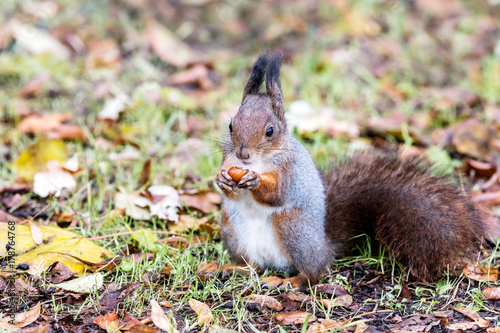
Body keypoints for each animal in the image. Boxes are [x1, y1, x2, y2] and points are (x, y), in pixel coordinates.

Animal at [214, 50, 492, 286]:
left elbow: (277, 193)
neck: (255, 163)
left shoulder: (289, 169)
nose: (243, 153)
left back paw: (293, 280)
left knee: (316, 272)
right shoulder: (229, 159)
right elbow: (228, 185)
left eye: (270, 131)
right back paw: (232, 268)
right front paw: (221, 179)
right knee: (254, 265)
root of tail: (325, 246)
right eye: (230, 125)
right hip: (231, 227)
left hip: (292, 226)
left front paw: (255, 181)